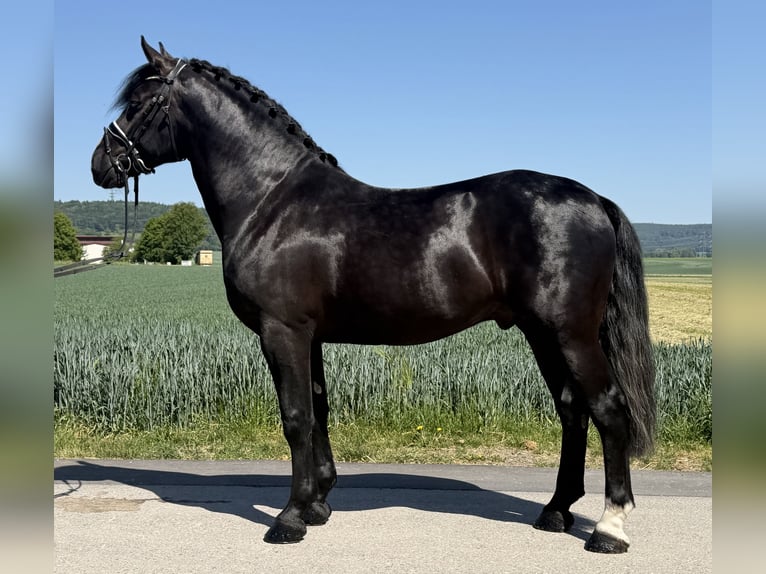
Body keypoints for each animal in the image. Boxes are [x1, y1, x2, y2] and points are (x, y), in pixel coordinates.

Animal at [91, 38, 655, 553]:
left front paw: (288, 519)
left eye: (138, 103)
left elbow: (295, 418)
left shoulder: (282, 331)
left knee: (608, 408)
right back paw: (556, 511)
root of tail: (593, 199)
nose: (101, 164)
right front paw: (316, 504)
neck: (273, 200)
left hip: (570, 333)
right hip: (542, 333)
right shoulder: (310, 336)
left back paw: (609, 529)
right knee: (572, 410)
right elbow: (318, 411)